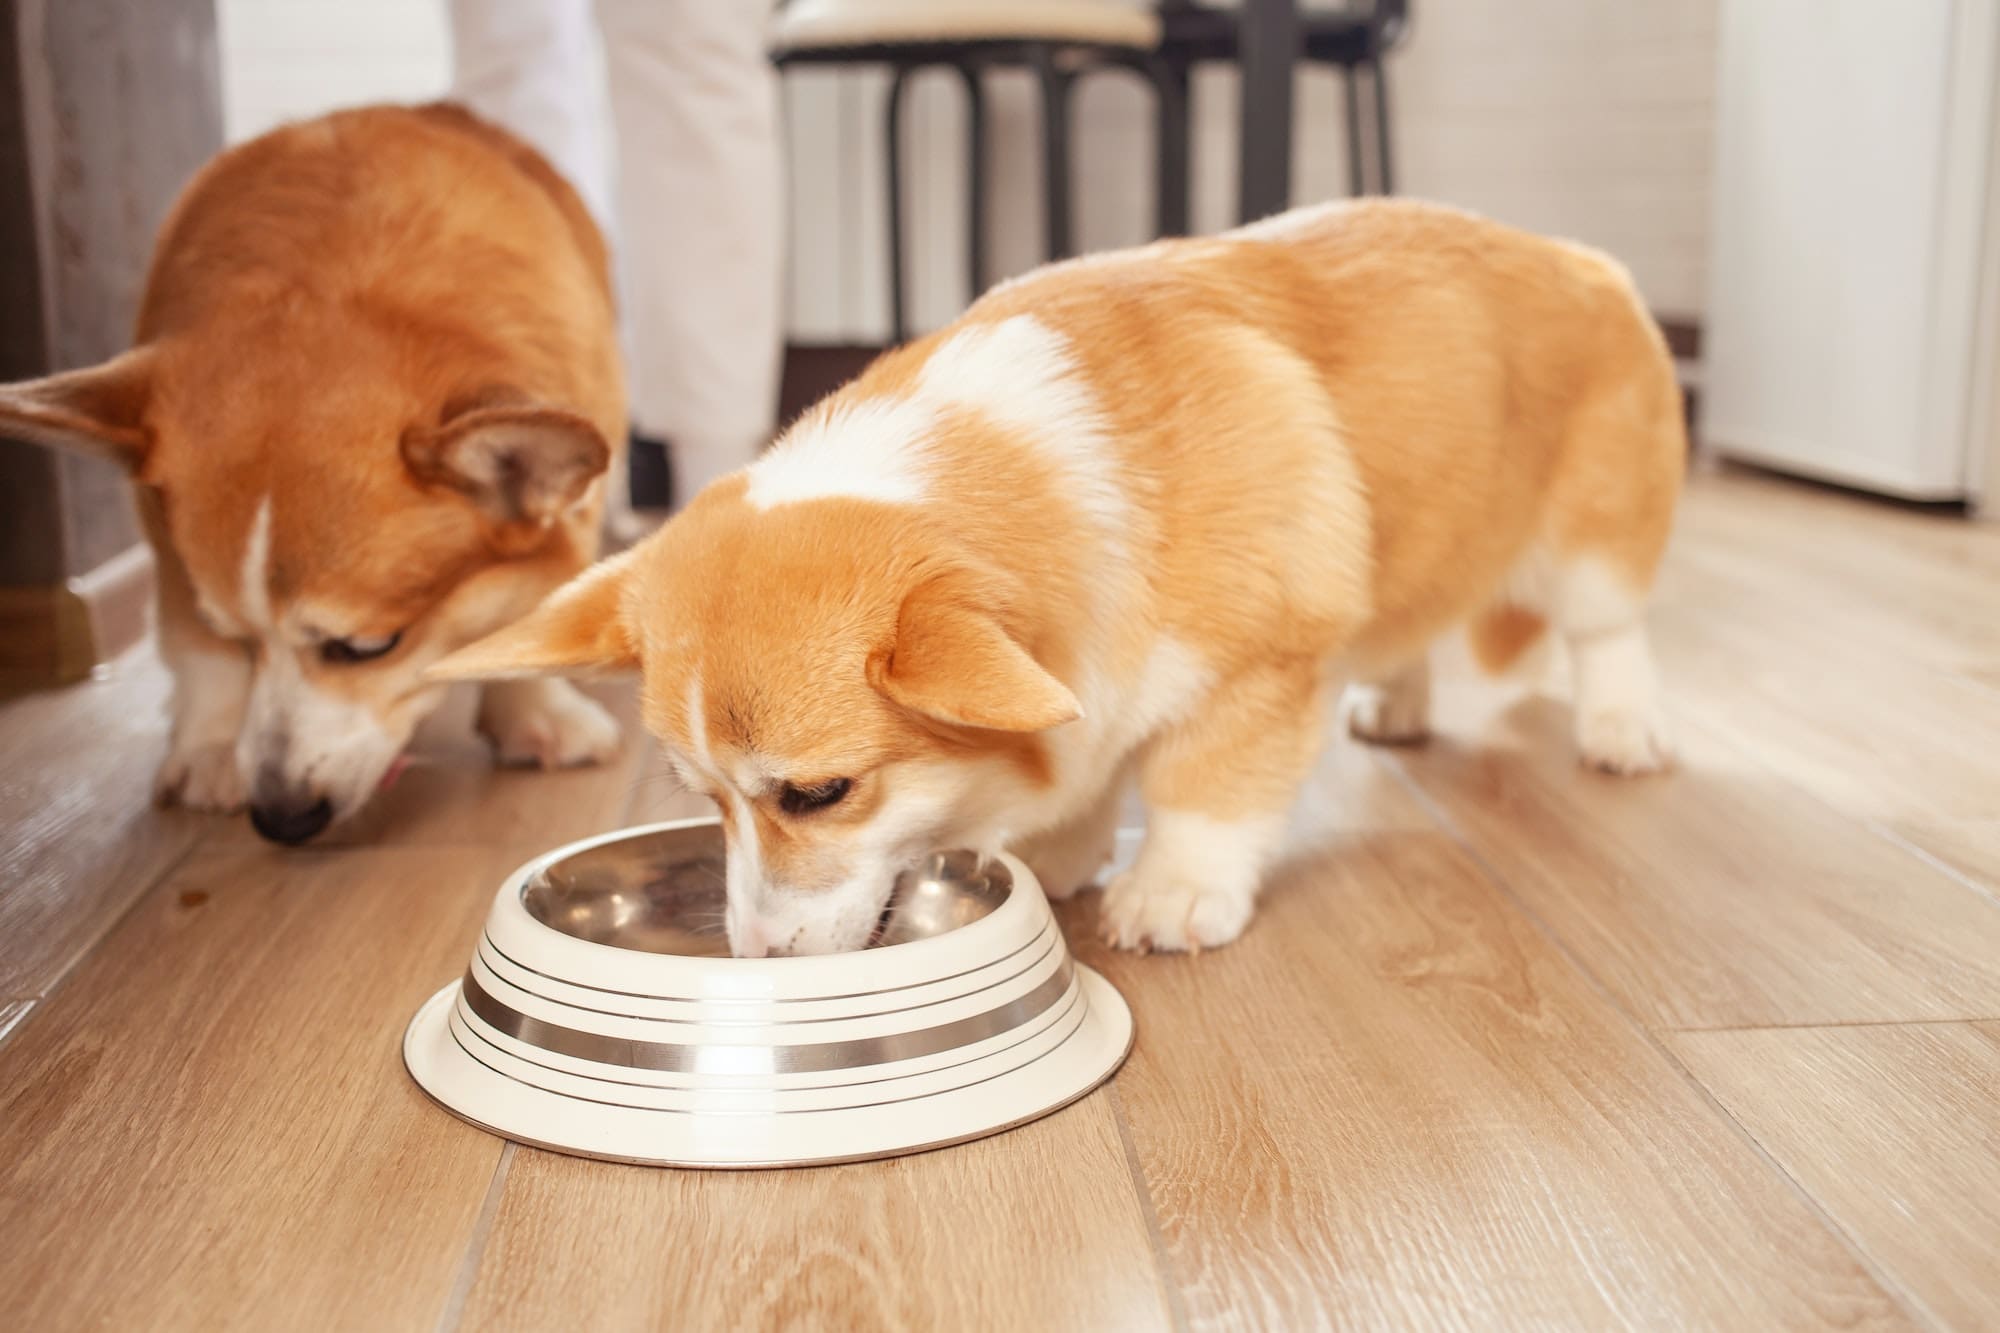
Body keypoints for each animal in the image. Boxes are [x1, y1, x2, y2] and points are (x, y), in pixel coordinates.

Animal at [0, 109, 624, 844]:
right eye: (236, 636)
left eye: (369, 648)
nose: (282, 820)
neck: (340, 289)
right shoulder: (168, 546)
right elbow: (192, 641)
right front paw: (211, 750)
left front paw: (536, 714)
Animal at [442, 197, 1688, 948]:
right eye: (701, 798)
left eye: (819, 793)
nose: (754, 956)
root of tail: (1574, 253)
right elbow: (1082, 777)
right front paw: (1057, 856)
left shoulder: (1259, 668)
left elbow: (1200, 794)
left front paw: (1170, 894)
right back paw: (1397, 704)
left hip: (1592, 542)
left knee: (1610, 635)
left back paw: (1620, 730)